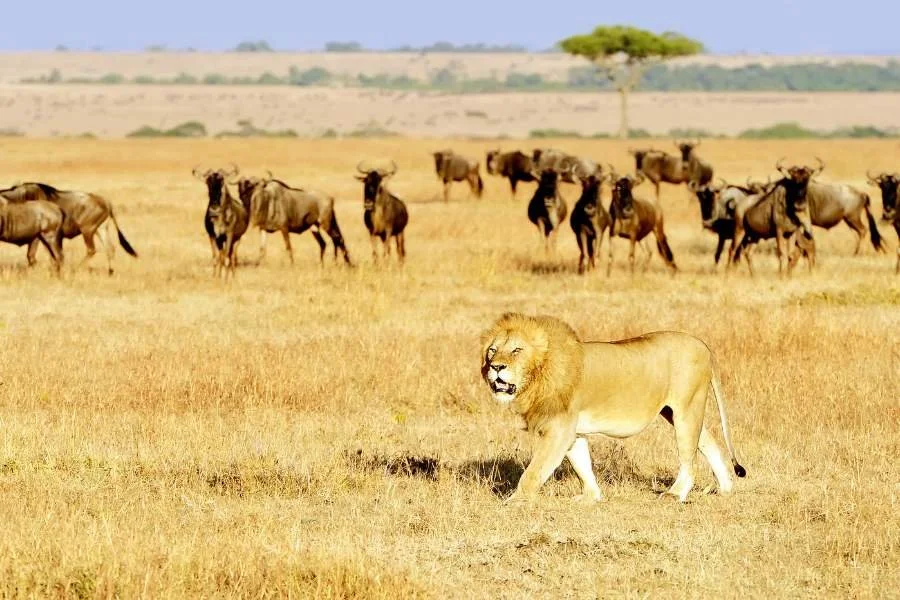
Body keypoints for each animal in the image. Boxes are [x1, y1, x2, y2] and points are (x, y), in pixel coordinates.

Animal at [480, 313, 746, 503]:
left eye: (516, 350)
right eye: (492, 350)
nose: (496, 367)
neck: (539, 374)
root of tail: (703, 345)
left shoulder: (559, 428)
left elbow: (535, 470)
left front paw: (515, 500)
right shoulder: (573, 431)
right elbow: (582, 465)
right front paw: (592, 497)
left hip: (686, 409)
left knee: (689, 458)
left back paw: (675, 494)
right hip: (676, 412)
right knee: (709, 442)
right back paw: (725, 487)